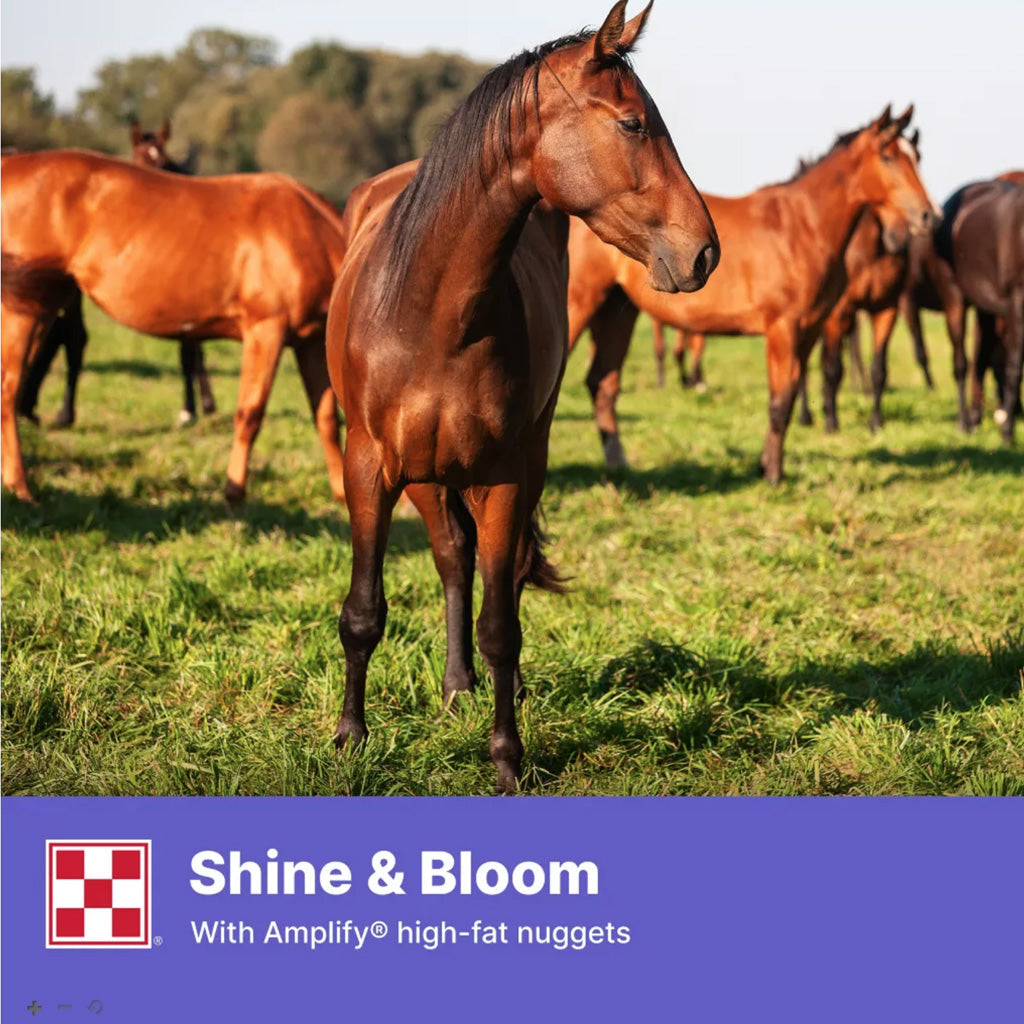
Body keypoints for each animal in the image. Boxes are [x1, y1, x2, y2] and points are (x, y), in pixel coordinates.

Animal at [325, 1, 719, 792]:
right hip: (426, 475)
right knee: (452, 557)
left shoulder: (503, 476)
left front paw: (507, 758)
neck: (427, 310)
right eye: (634, 124)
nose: (704, 252)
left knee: (486, 576)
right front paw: (351, 738)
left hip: (514, 461)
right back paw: (456, 687)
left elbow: (502, 626)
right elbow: (364, 611)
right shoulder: (369, 467)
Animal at [566, 105, 938, 481]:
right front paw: (772, 475)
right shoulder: (782, 329)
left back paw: (618, 466)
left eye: (918, 156)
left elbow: (792, 395)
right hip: (579, 305)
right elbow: (780, 400)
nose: (927, 216)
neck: (803, 227)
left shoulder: (810, 329)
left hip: (616, 310)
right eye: (888, 156)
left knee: (601, 383)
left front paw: (769, 465)